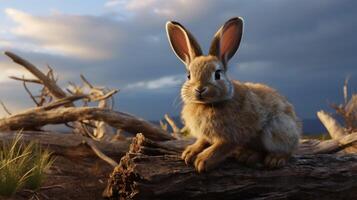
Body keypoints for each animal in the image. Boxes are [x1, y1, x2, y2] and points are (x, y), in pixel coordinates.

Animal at [165, 17, 300, 173]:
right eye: (189, 76)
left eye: (217, 74)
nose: (199, 89)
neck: (207, 105)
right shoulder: (206, 136)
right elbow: (202, 141)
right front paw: (189, 153)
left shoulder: (233, 135)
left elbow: (221, 147)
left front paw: (202, 161)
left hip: (276, 129)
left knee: (285, 150)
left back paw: (273, 159)